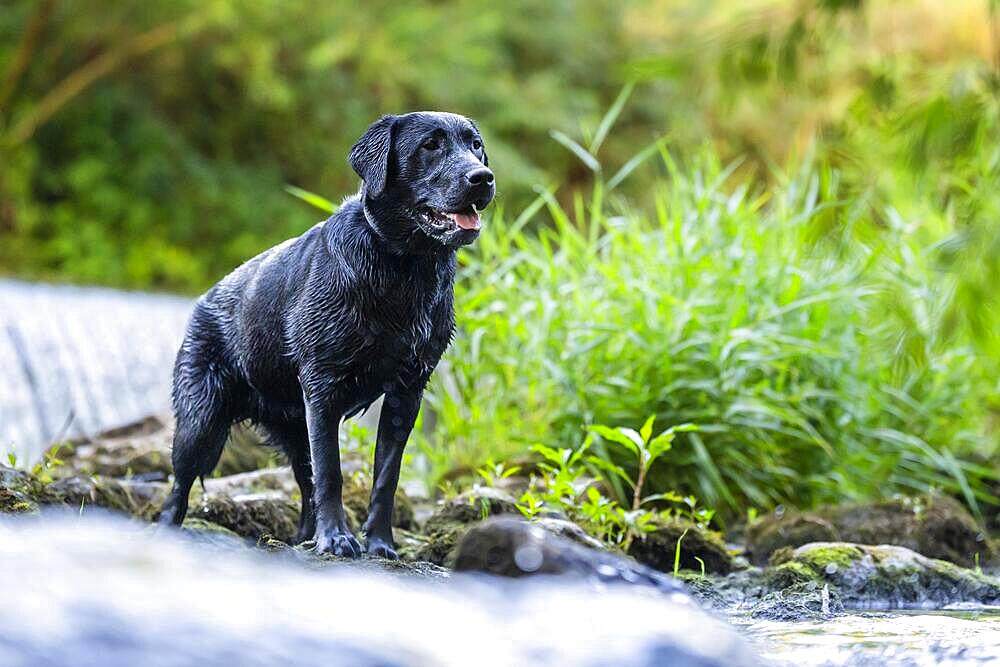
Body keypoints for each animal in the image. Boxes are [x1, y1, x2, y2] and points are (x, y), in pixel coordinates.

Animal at [158, 111, 494, 560]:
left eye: (475, 145)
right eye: (430, 145)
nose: (483, 177)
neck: (401, 267)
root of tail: (202, 301)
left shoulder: (407, 392)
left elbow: (385, 477)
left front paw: (380, 543)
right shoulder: (322, 387)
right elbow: (331, 472)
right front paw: (336, 539)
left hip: (293, 428)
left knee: (305, 483)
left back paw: (303, 537)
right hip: (202, 424)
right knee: (180, 483)